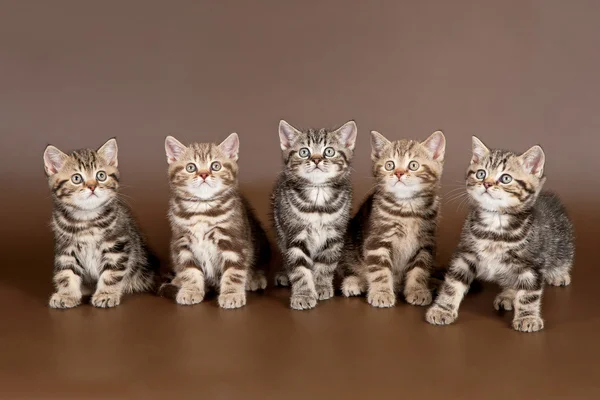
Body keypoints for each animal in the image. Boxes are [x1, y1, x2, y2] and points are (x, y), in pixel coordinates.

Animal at [44, 138, 157, 310]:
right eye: (76, 178)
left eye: (101, 175)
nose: (92, 186)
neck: (87, 218)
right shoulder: (66, 247)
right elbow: (66, 273)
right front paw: (67, 295)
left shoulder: (117, 245)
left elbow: (112, 273)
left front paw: (106, 294)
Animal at [163, 133, 268, 308]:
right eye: (191, 167)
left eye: (216, 166)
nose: (204, 174)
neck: (202, 209)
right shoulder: (181, 241)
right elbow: (189, 270)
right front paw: (190, 290)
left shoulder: (233, 240)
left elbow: (233, 271)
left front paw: (231, 294)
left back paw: (254, 278)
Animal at [272, 119, 356, 310]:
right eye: (304, 152)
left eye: (329, 151)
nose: (316, 159)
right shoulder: (293, 235)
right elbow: (299, 269)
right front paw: (303, 294)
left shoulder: (334, 237)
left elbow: (326, 264)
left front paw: (321, 287)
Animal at [342, 130, 446, 308]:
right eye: (389, 165)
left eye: (413, 165)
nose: (399, 173)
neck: (407, 209)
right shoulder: (377, 240)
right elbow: (379, 270)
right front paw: (381, 293)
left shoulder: (426, 242)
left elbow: (420, 269)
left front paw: (418, 290)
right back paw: (354, 282)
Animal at [426, 138, 576, 332]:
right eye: (481, 173)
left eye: (506, 178)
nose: (487, 183)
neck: (494, 225)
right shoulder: (466, 254)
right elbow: (452, 284)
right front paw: (442, 309)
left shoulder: (531, 263)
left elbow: (529, 293)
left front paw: (528, 317)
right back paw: (508, 295)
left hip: (562, 240)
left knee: (561, 255)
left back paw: (559, 275)